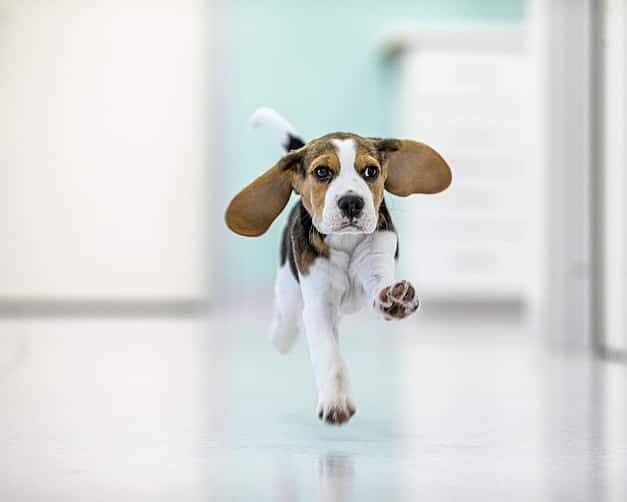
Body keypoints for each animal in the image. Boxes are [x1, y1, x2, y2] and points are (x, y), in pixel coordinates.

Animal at [226, 108, 452, 426]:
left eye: (370, 171)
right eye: (322, 172)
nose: (352, 203)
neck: (345, 242)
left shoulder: (377, 260)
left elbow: (380, 287)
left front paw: (396, 299)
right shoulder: (319, 303)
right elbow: (330, 355)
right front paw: (336, 401)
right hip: (288, 293)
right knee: (285, 324)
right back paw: (281, 334)